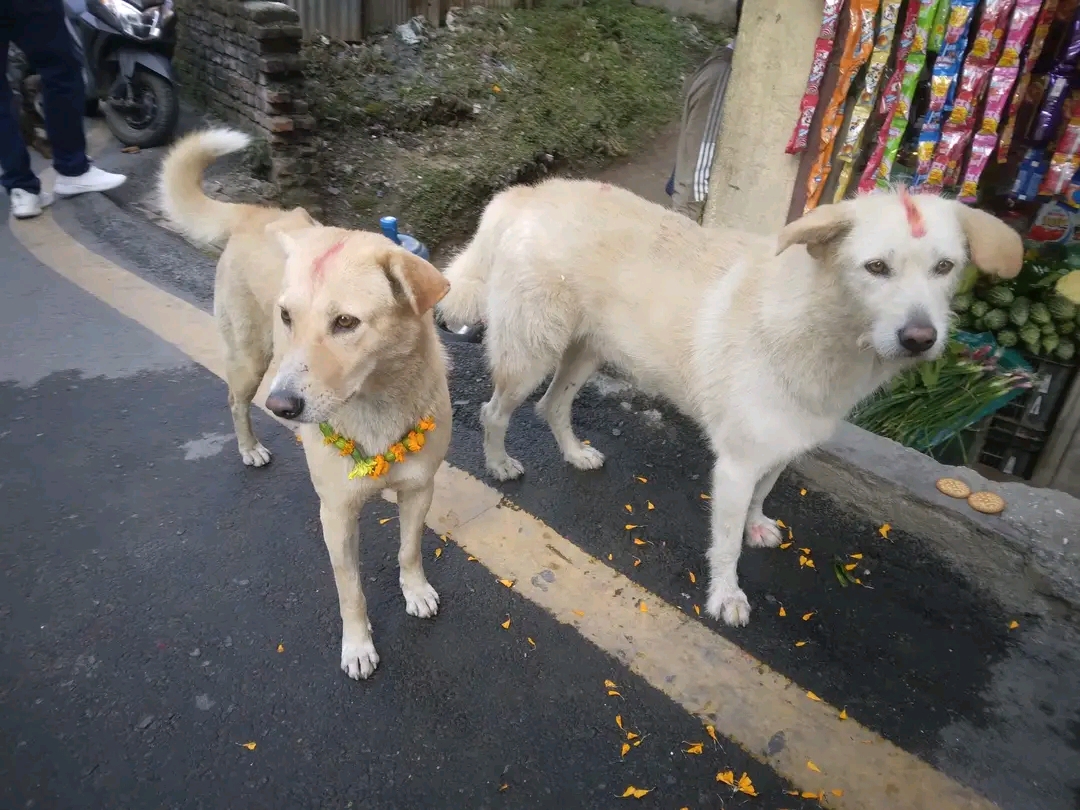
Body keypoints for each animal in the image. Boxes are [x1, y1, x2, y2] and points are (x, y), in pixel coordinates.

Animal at [159, 129, 452, 679]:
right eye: (288, 316)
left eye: (346, 322)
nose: (282, 407)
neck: (376, 405)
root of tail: (256, 212)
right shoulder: (336, 515)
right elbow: (350, 591)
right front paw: (357, 646)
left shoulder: (419, 490)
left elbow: (409, 550)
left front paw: (415, 590)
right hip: (251, 360)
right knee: (234, 400)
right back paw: (249, 447)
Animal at [437, 179, 1021, 626]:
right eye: (876, 267)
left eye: (945, 267)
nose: (921, 338)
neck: (813, 325)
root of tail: (528, 193)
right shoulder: (735, 463)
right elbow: (725, 543)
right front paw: (725, 596)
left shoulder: (784, 443)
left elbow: (764, 493)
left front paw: (757, 524)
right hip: (530, 355)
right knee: (494, 411)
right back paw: (499, 463)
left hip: (586, 351)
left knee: (553, 407)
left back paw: (575, 453)